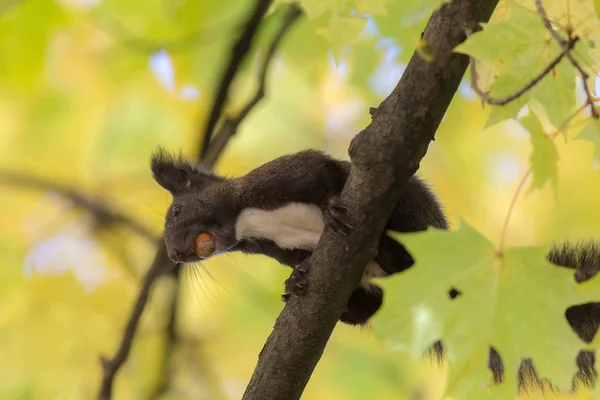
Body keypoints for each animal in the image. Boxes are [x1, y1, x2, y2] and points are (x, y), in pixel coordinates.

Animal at [150, 146, 600, 390]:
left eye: (175, 210)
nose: (175, 255)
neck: (245, 222)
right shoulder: (282, 248)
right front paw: (295, 279)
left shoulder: (283, 175)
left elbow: (322, 173)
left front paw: (331, 208)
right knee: (365, 308)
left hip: (413, 212)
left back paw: (384, 242)